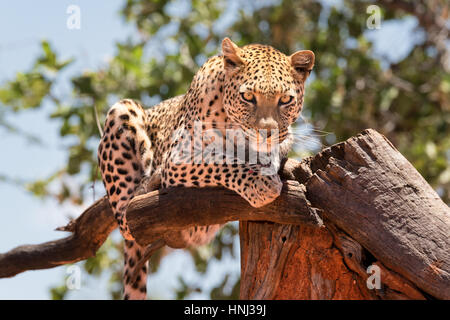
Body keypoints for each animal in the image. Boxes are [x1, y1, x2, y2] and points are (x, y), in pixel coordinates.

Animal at [96, 38, 314, 300]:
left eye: (285, 100)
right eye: (248, 97)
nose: (266, 133)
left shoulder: (285, 137)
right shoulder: (178, 157)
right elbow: (221, 161)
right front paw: (261, 184)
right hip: (123, 110)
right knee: (126, 217)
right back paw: (147, 186)